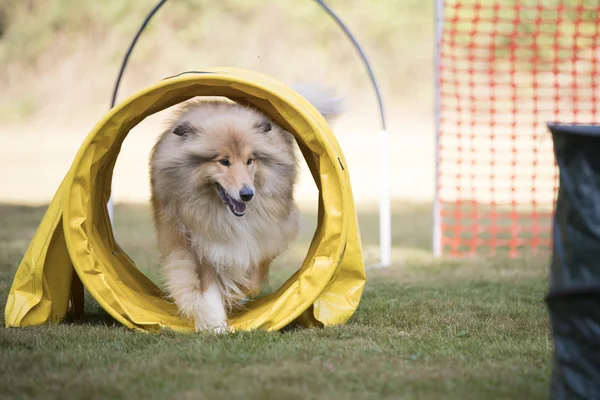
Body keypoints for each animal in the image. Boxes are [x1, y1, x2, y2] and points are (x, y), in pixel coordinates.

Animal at [148, 86, 342, 332]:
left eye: (250, 160)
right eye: (223, 161)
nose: (247, 194)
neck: (225, 213)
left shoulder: (265, 234)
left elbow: (251, 272)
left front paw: (235, 295)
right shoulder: (199, 242)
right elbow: (207, 287)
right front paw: (214, 324)